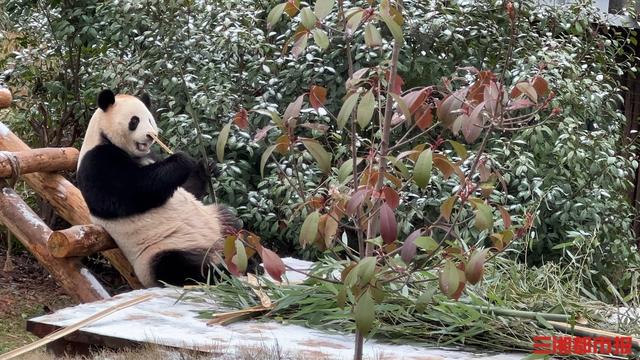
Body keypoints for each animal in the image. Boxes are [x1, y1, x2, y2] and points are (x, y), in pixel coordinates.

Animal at [77, 88, 240, 288]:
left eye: (150, 119)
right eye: (134, 121)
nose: (150, 135)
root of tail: (213, 249)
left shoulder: (151, 155)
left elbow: (187, 188)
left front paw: (207, 167)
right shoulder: (96, 162)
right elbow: (129, 193)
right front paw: (182, 160)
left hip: (215, 220)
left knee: (232, 222)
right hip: (160, 251)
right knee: (177, 267)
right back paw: (223, 274)